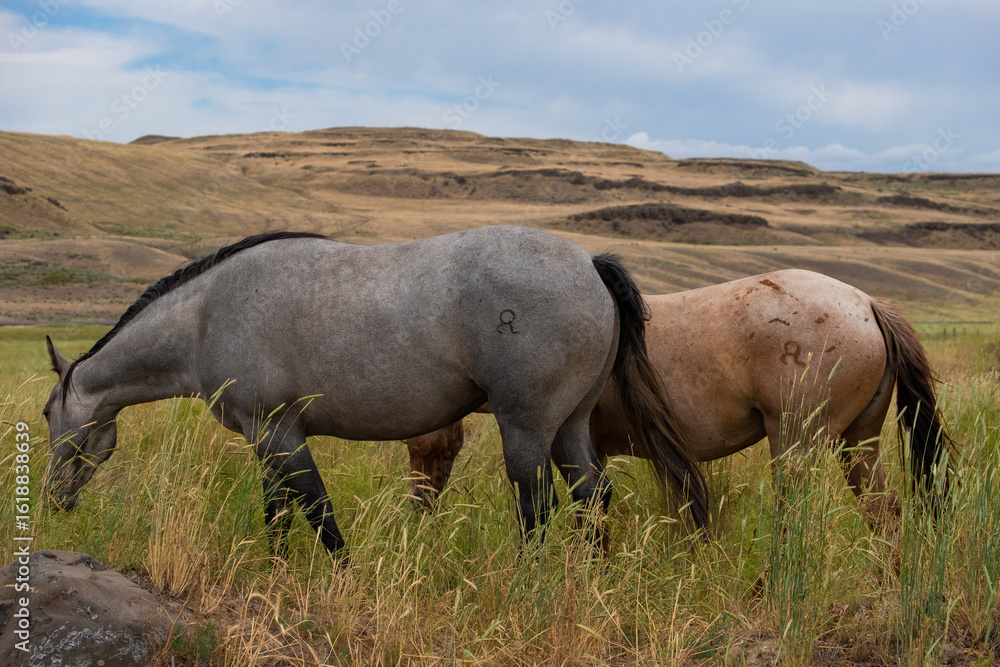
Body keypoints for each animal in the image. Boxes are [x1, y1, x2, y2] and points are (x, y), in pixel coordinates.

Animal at [42, 226, 709, 562]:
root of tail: (589, 263)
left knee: (537, 506)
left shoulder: (278, 432)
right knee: (592, 498)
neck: (205, 316)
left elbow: (316, 511)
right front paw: (277, 570)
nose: (53, 501)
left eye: (48, 413)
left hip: (527, 429)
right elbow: (278, 512)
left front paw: (340, 574)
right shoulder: (270, 440)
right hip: (570, 427)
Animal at [405, 269, 953, 524]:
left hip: (799, 443)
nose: (419, 510)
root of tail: (866, 303)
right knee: (885, 513)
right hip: (859, 444)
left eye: (423, 444)